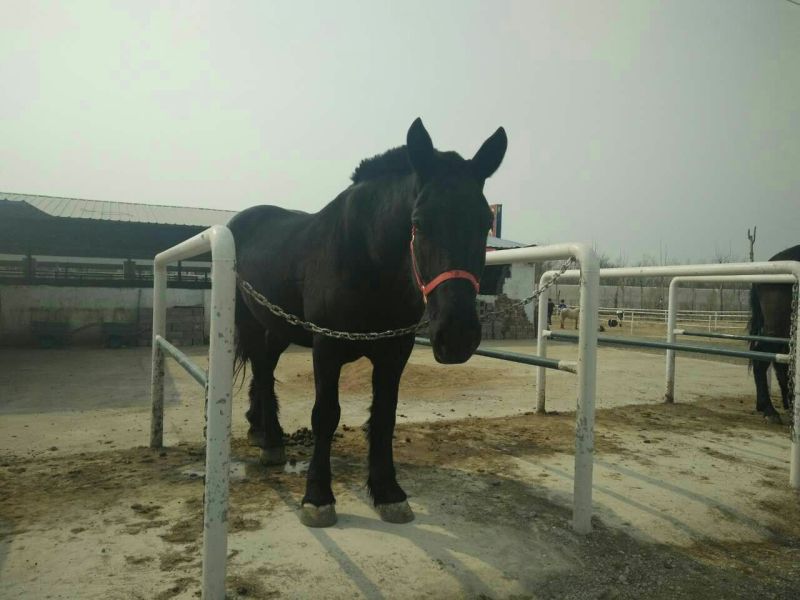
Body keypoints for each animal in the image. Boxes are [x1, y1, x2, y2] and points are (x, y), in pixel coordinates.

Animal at [228, 118, 507, 527]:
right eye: (418, 223)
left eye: (486, 222)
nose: (457, 336)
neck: (364, 256)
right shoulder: (326, 348)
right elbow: (325, 415)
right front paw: (317, 497)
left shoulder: (395, 351)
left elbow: (385, 417)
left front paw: (388, 491)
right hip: (249, 320)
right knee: (262, 371)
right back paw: (272, 442)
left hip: (278, 326)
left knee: (265, 369)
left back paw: (262, 431)